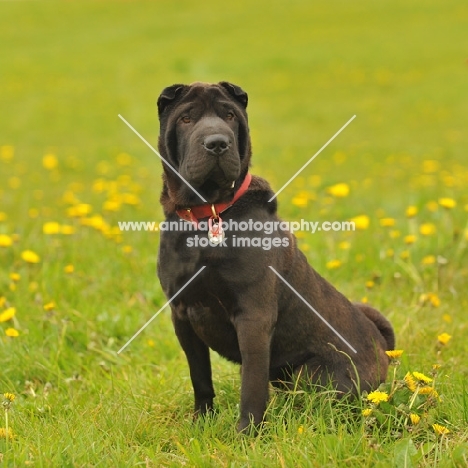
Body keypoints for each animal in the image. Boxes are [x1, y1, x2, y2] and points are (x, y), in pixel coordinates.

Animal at [157, 80, 394, 432]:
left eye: (229, 115)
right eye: (187, 118)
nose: (217, 143)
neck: (209, 213)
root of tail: (382, 348)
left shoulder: (254, 316)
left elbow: (252, 387)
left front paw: (247, 434)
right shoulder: (183, 314)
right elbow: (200, 377)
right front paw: (202, 422)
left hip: (315, 376)